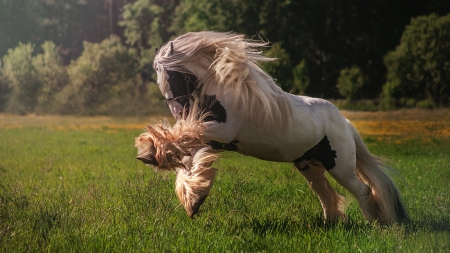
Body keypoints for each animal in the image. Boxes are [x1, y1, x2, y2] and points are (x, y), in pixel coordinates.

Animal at [142, 31, 410, 223]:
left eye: (171, 76)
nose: (179, 113)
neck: (223, 93)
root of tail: (344, 123)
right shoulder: (213, 139)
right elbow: (190, 160)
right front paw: (193, 198)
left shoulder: (220, 132)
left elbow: (185, 146)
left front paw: (150, 152)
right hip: (309, 166)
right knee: (326, 194)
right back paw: (330, 224)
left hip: (340, 167)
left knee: (363, 190)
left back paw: (376, 225)